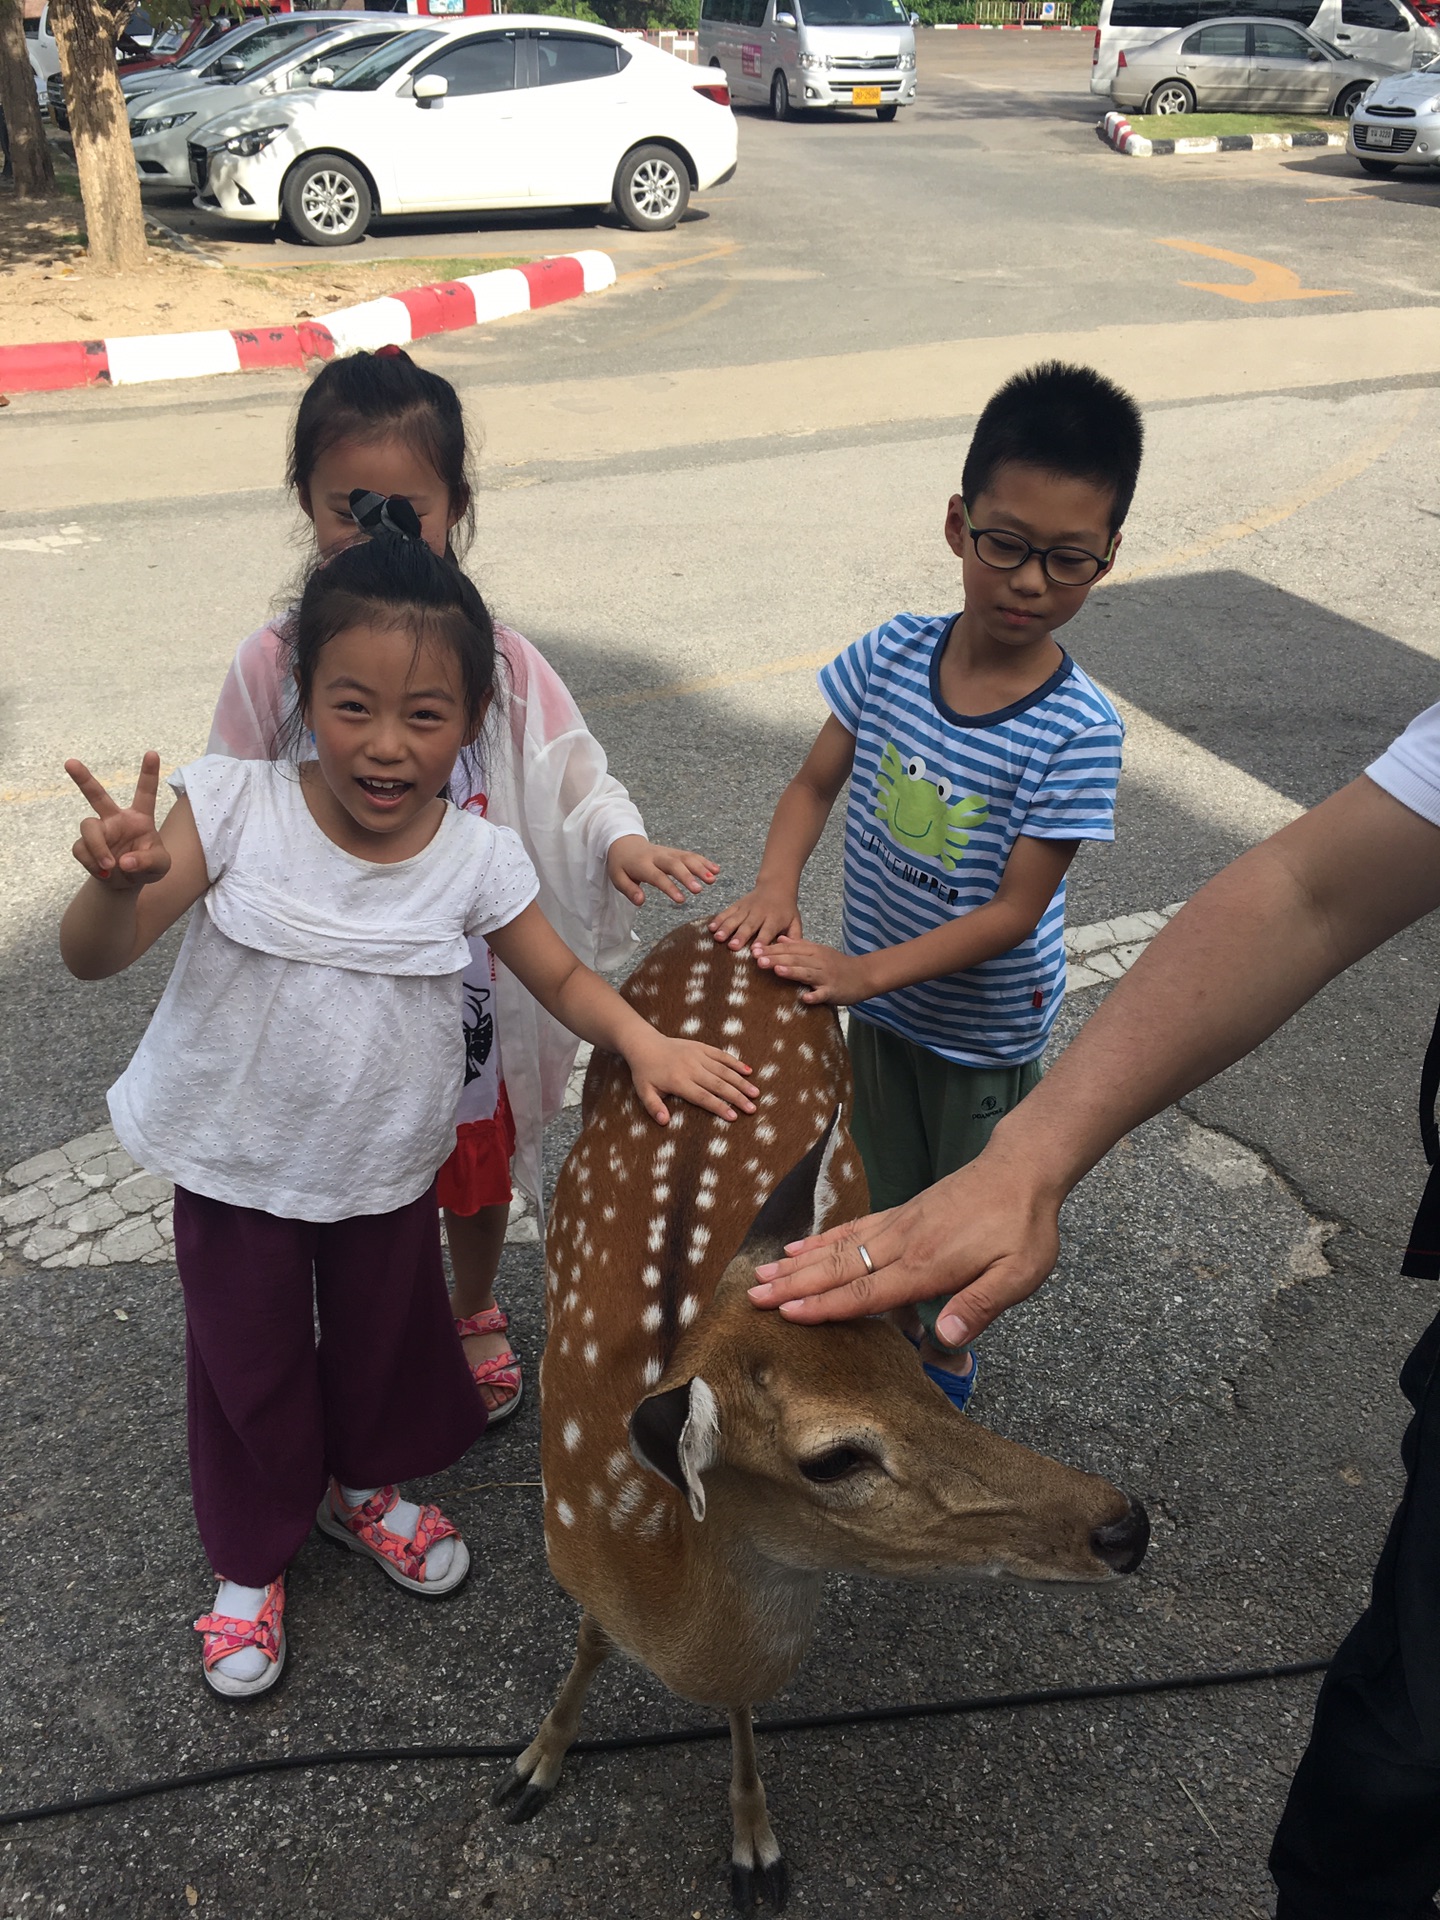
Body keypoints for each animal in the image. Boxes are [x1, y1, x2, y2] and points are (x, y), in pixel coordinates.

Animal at [494, 922, 1149, 1911]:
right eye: (834, 1459)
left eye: (902, 1364)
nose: (1126, 1525)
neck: (645, 1564)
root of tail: (721, 924)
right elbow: (588, 1642)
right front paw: (534, 1764)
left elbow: (740, 1708)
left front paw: (755, 1848)